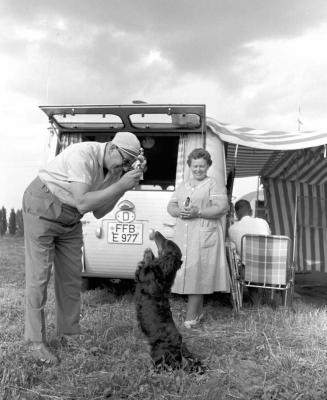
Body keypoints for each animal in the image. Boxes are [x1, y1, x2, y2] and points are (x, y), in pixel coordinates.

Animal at [135, 230, 204, 374]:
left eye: (166, 242)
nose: (156, 232)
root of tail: (179, 348)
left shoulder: (142, 276)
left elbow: (145, 264)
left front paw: (148, 253)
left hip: (157, 353)